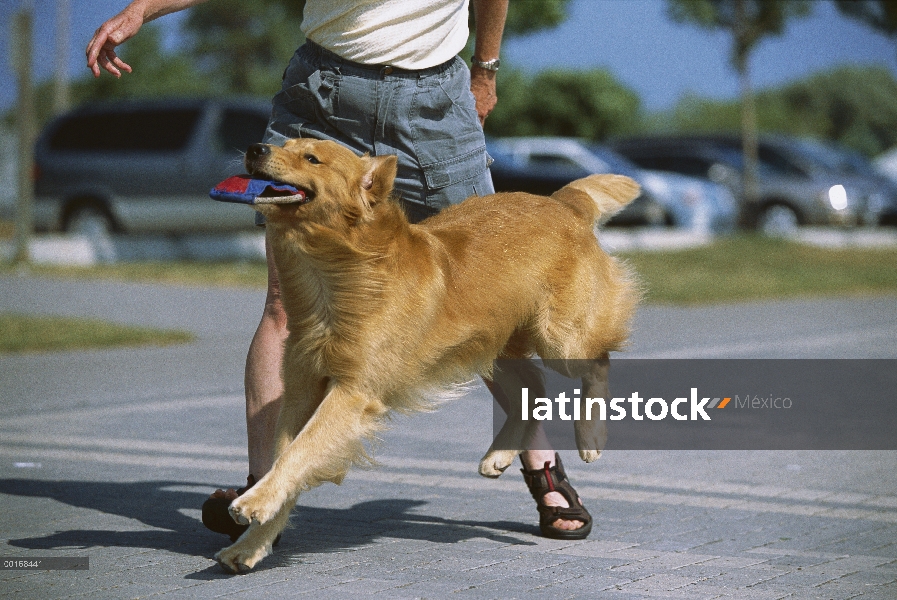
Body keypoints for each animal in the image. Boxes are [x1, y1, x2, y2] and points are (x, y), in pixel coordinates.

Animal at [214, 138, 640, 576]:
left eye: (312, 158)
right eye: (284, 142)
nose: (255, 147)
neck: (336, 273)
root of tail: (563, 202)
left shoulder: (353, 392)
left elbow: (300, 453)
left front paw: (254, 501)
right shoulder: (300, 389)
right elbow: (286, 457)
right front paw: (253, 542)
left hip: (559, 339)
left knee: (598, 362)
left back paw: (590, 436)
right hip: (489, 346)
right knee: (533, 392)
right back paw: (499, 455)